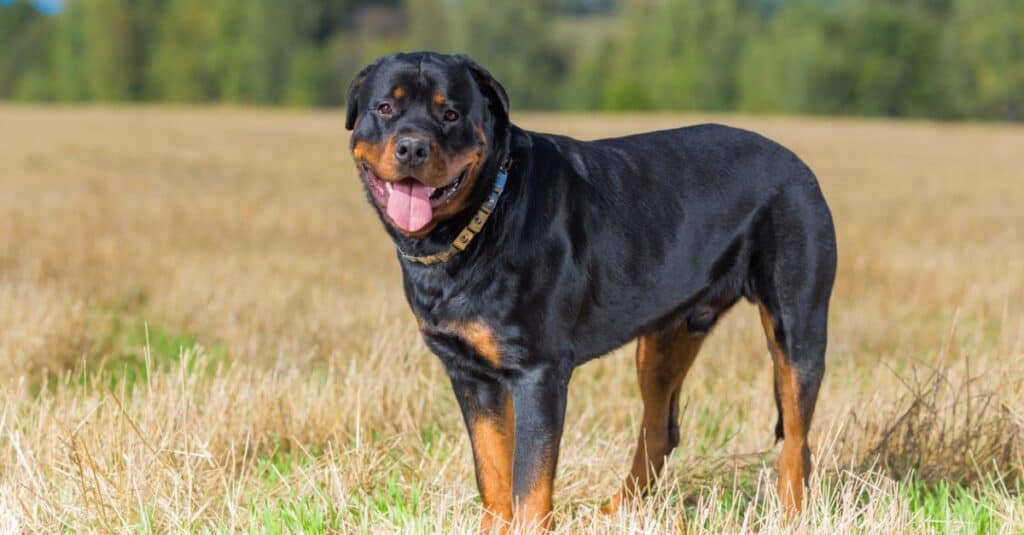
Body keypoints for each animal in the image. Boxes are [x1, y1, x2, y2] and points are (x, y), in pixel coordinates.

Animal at [348, 52, 835, 528]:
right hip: (665, 337)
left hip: (796, 326)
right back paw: (616, 512)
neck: (480, 221)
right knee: (660, 428)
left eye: (450, 113)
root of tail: (799, 166)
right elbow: (493, 474)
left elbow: (530, 485)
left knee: (796, 439)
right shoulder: (469, 373)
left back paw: (790, 516)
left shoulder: (538, 371)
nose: (413, 147)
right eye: (384, 107)